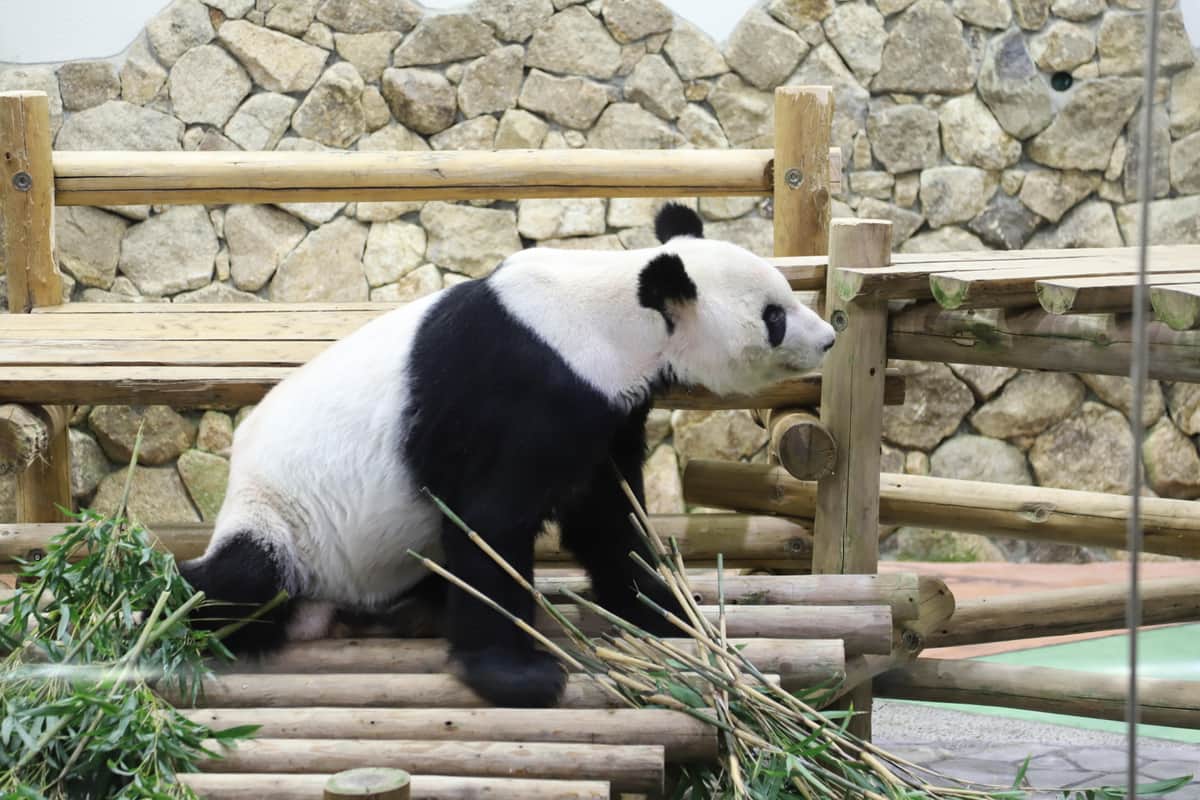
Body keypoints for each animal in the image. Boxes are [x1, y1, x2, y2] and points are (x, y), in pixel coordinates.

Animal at [177, 205, 835, 705]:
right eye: (774, 317)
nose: (829, 338)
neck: (616, 316)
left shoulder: (602, 409)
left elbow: (606, 517)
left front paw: (663, 609)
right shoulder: (524, 387)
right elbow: (490, 524)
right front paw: (520, 676)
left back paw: (416, 614)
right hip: (283, 519)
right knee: (239, 582)